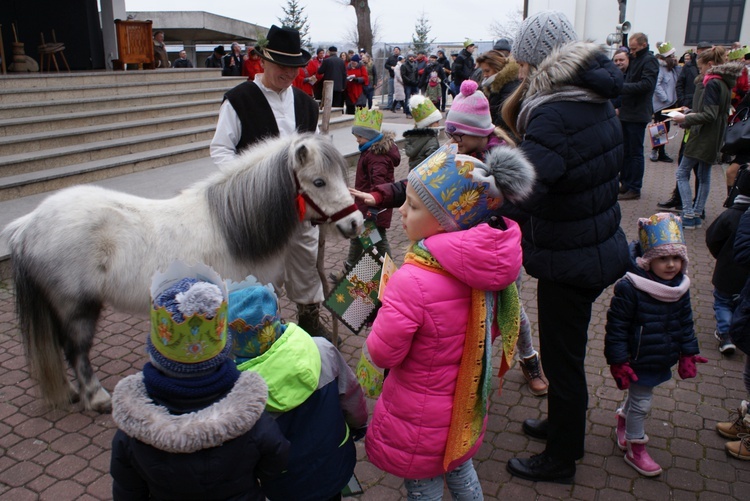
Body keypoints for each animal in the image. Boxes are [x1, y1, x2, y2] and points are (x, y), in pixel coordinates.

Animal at [3, 132, 364, 410]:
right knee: (76, 350)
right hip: (76, 307)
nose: (355, 222)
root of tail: (27, 226)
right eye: (319, 181)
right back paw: (97, 398)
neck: (233, 227)